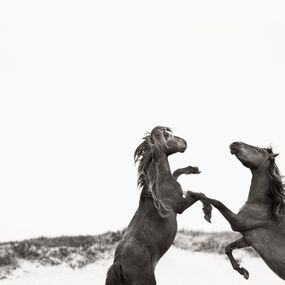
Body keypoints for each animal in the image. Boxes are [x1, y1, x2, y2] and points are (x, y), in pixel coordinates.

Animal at [104, 126, 211, 284]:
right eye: (167, 135)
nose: (185, 142)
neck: (159, 184)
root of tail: (118, 265)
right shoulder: (180, 206)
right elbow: (199, 195)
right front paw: (207, 212)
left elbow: (177, 172)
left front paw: (193, 169)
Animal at [195, 141, 284, 278]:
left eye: (258, 150)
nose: (235, 143)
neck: (265, 206)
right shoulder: (248, 239)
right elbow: (228, 248)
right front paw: (243, 271)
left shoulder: (237, 223)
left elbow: (216, 202)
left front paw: (204, 209)